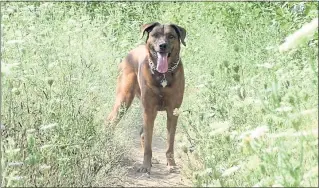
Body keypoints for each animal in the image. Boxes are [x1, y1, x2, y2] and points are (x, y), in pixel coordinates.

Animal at [108, 21, 188, 173]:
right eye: (155, 35)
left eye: (171, 36)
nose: (162, 45)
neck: (163, 74)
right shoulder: (149, 109)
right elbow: (149, 145)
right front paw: (145, 166)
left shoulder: (173, 111)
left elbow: (170, 142)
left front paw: (171, 164)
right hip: (123, 100)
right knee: (110, 122)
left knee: (142, 133)